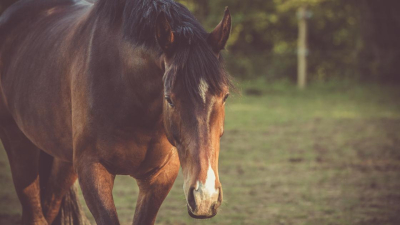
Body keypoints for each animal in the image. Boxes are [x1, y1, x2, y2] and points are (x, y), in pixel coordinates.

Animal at [0, 0, 231, 224]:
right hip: (19, 144)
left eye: (225, 96)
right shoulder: (92, 170)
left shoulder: (160, 176)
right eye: (169, 99)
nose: (204, 197)